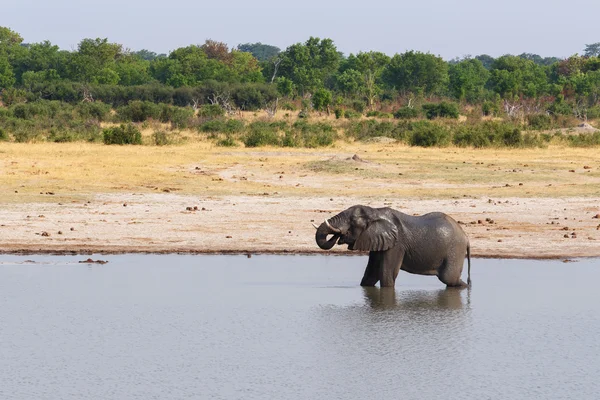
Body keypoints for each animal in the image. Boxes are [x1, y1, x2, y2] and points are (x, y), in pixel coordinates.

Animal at [312, 206, 472, 288]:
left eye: (352, 221)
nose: (340, 235)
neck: (375, 212)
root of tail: (466, 237)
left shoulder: (396, 245)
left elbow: (386, 274)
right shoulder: (378, 241)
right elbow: (371, 273)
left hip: (455, 250)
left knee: (448, 278)